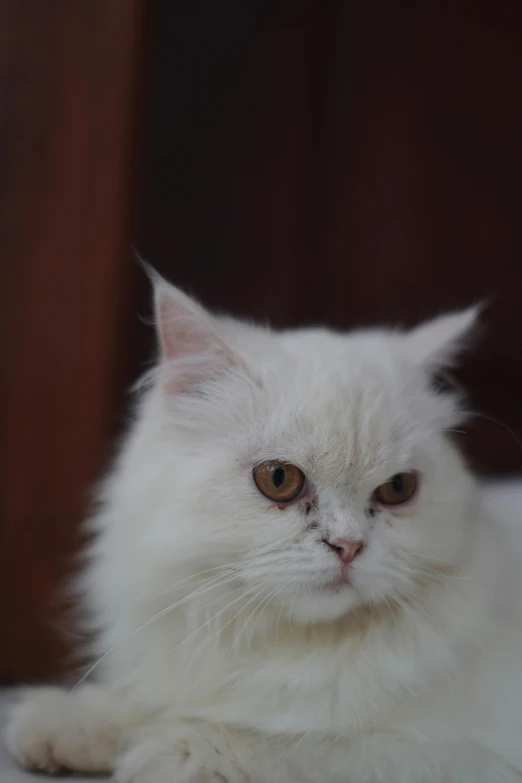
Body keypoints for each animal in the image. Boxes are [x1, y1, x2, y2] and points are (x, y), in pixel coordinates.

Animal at [6, 278, 520, 780]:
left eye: (398, 488)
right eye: (278, 479)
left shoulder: (450, 752)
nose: (348, 546)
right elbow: (140, 700)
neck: (281, 646)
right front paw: (61, 724)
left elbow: (295, 742)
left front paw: (165, 751)